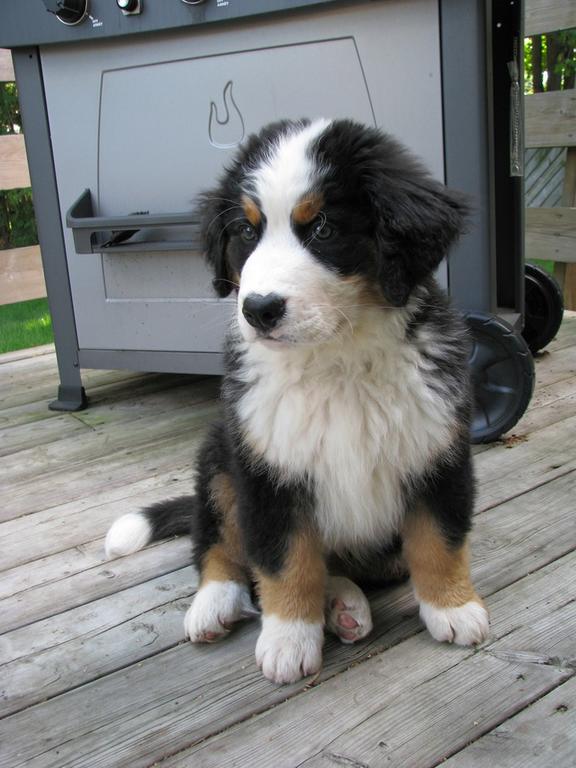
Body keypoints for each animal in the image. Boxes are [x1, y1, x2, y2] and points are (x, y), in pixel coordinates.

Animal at [106, 118, 488, 684]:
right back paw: (216, 605)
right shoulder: (267, 468)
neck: (337, 360)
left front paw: (454, 607)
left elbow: (438, 539)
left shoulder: (437, 449)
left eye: (323, 229)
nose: (258, 309)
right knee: (217, 542)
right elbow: (286, 559)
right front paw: (289, 638)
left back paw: (344, 603)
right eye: (246, 232)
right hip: (220, 458)